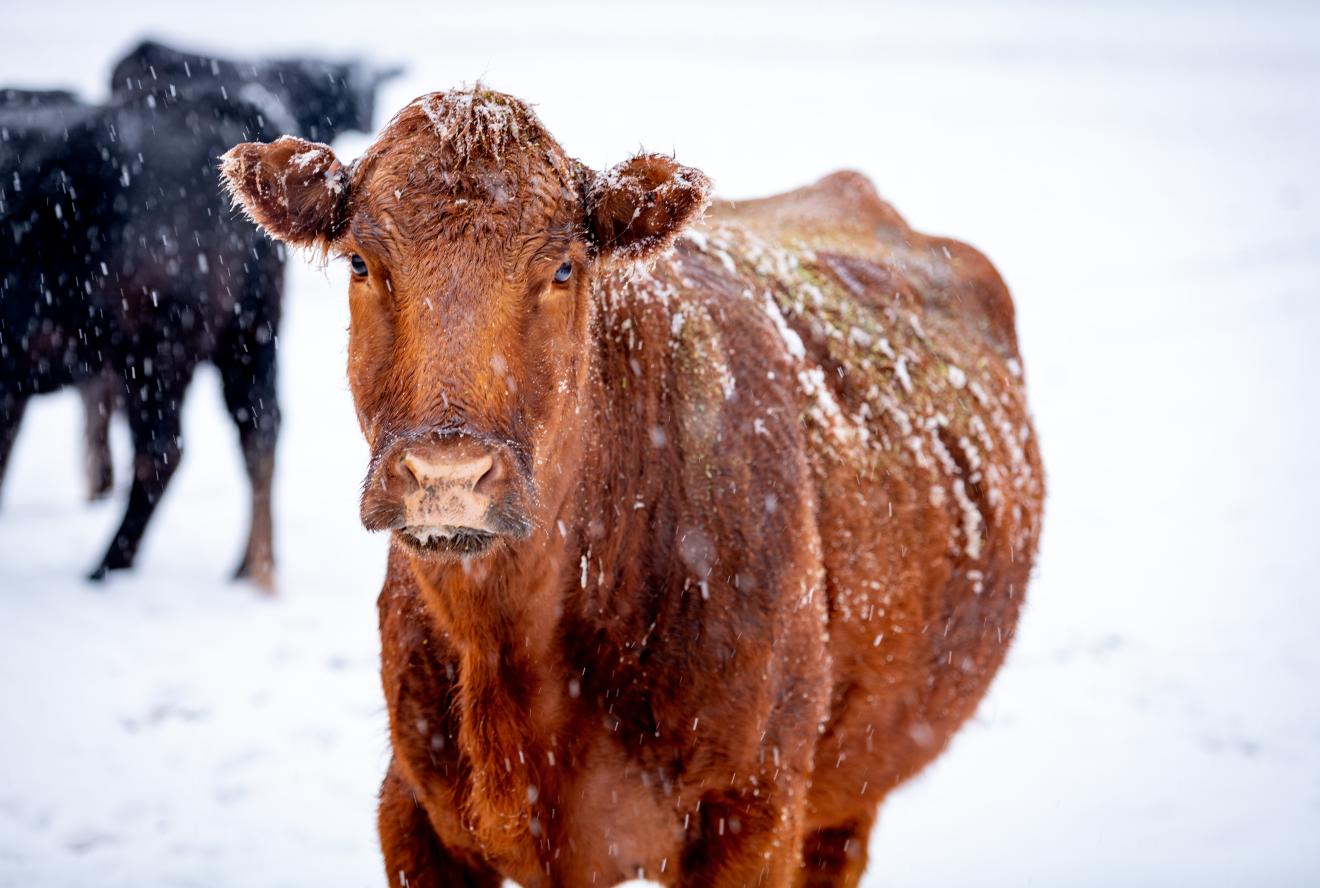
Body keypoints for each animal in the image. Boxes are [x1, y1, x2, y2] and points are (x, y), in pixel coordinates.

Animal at [0, 43, 398, 590]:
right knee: (257, 426)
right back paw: (249, 568)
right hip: (248, 336)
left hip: (156, 353)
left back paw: (105, 568)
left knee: (162, 451)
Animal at [221, 87, 1044, 886]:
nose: (447, 476)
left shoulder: (754, 810)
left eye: (563, 269)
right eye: (360, 262)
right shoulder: (414, 812)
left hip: (845, 797)